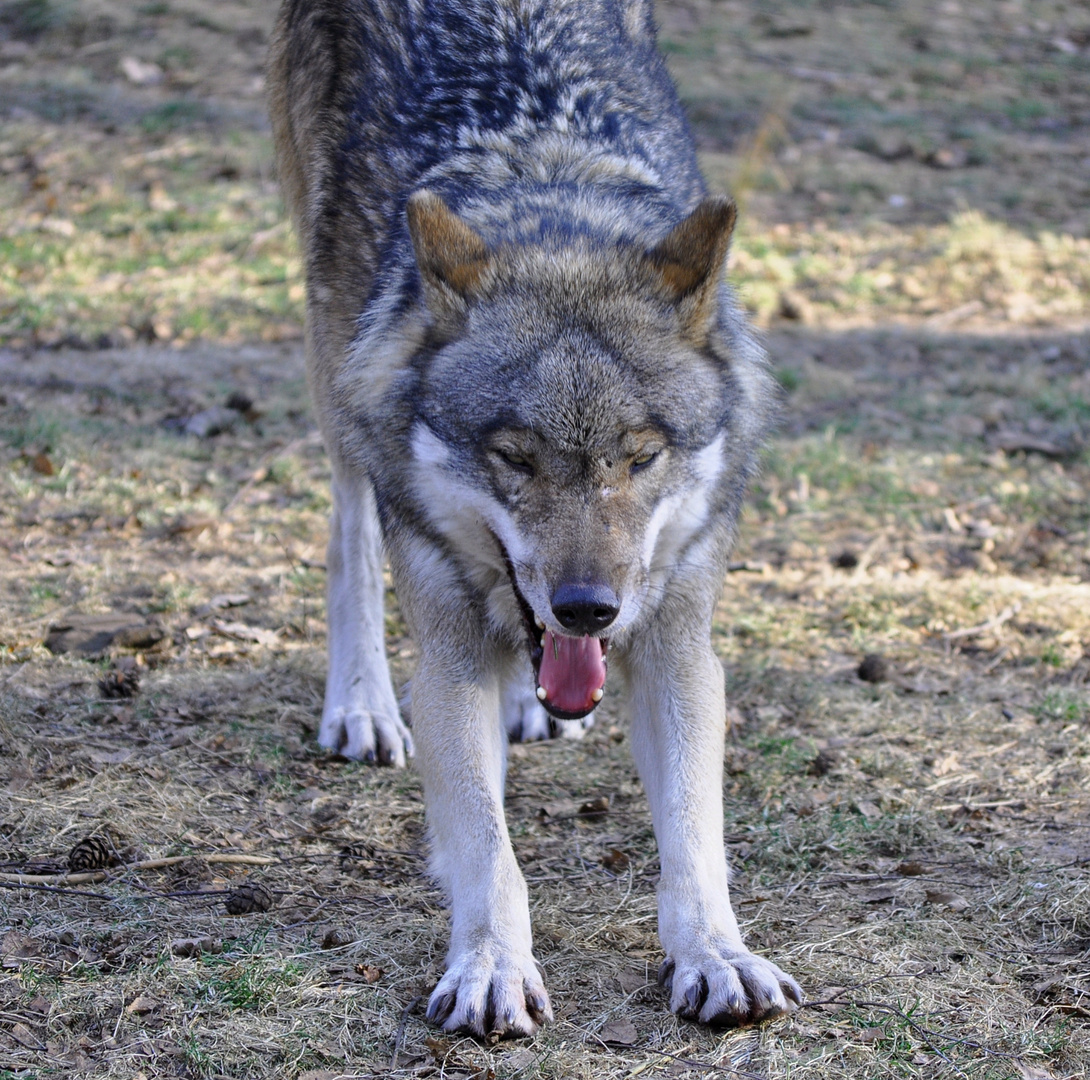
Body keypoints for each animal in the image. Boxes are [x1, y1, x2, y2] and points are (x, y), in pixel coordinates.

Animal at [270, 0, 802, 1037]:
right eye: (515, 459)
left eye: (639, 457)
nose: (588, 608)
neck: (550, 197)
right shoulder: (447, 655)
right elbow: (487, 846)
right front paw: (491, 968)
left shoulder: (678, 644)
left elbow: (694, 837)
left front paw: (717, 955)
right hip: (333, 347)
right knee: (350, 529)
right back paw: (360, 704)